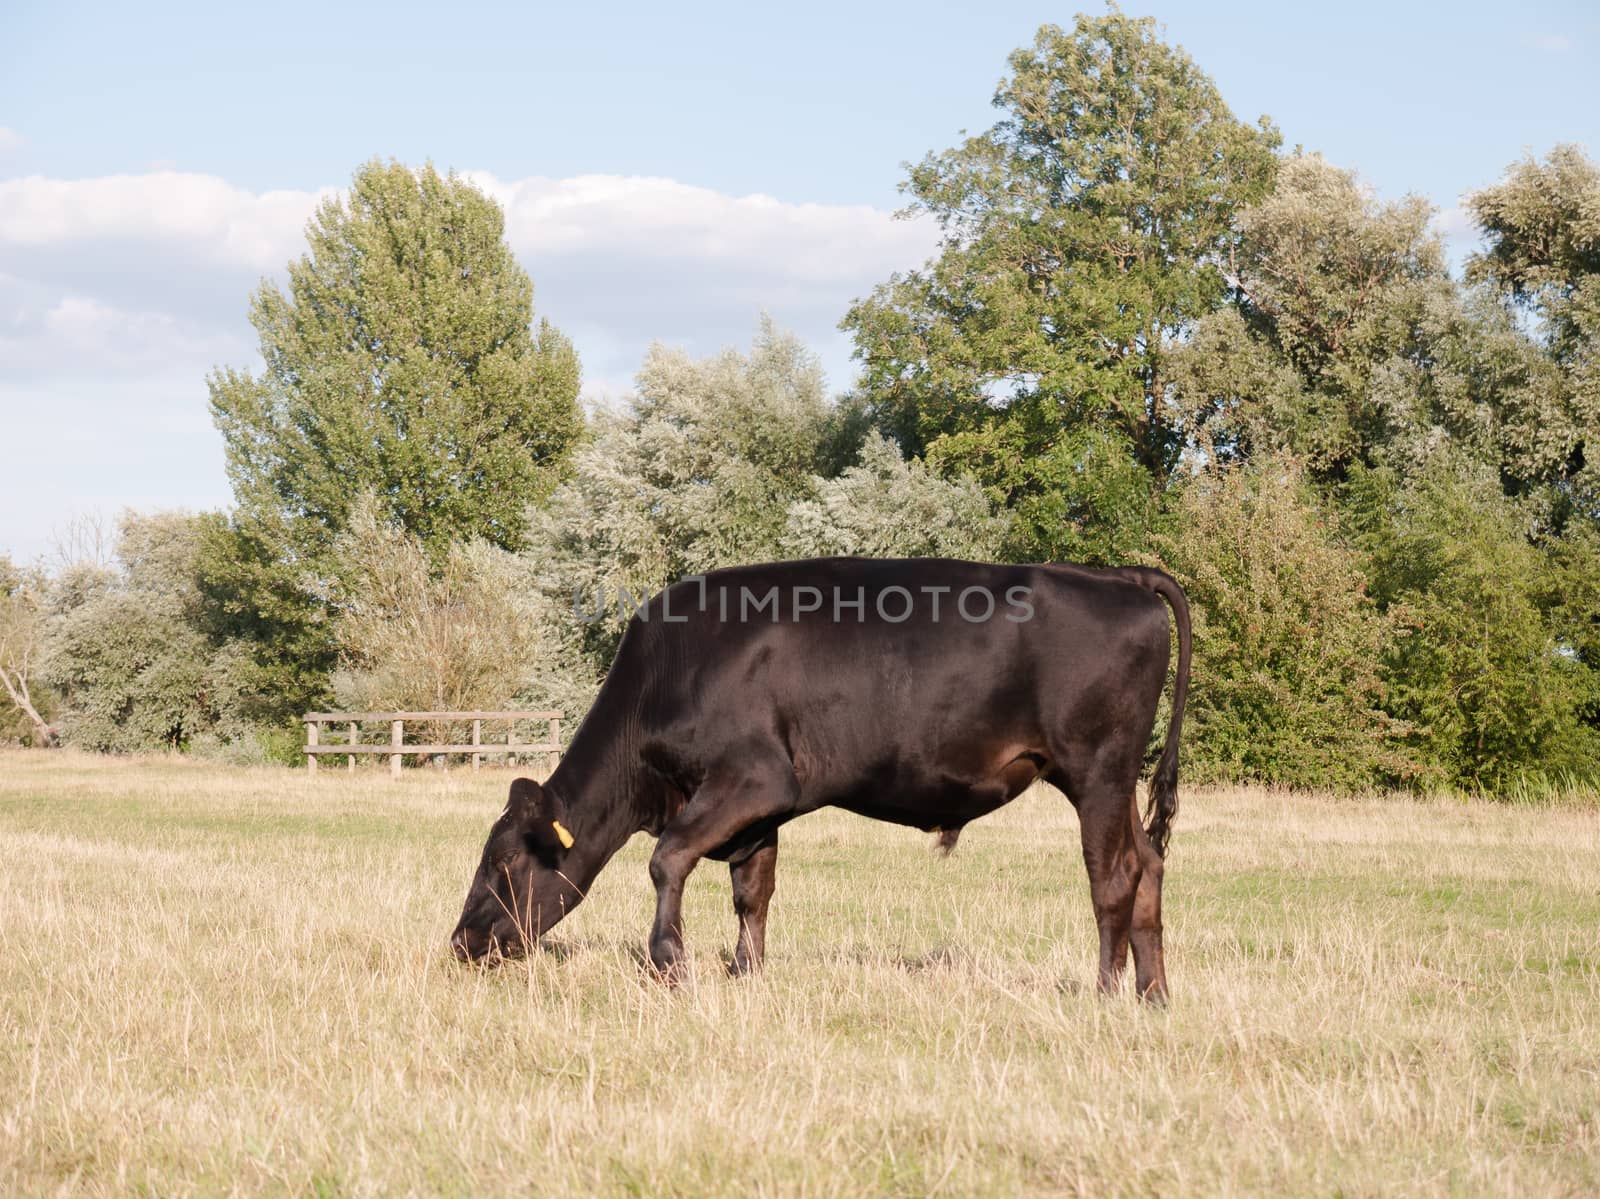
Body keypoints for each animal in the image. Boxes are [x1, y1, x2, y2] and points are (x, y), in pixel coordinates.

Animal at [451, 560, 1190, 998]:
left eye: (503, 862)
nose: (461, 943)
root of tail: (1119, 576)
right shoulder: (760, 811)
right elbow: (752, 890)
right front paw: (745, 973)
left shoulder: (753, 779)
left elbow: (667, 860)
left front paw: (670, 964)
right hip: (1115, 781)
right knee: (1150, 864)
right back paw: (1153, 994)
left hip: (1097, 770)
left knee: (1113, 876)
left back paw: (1105, 993)